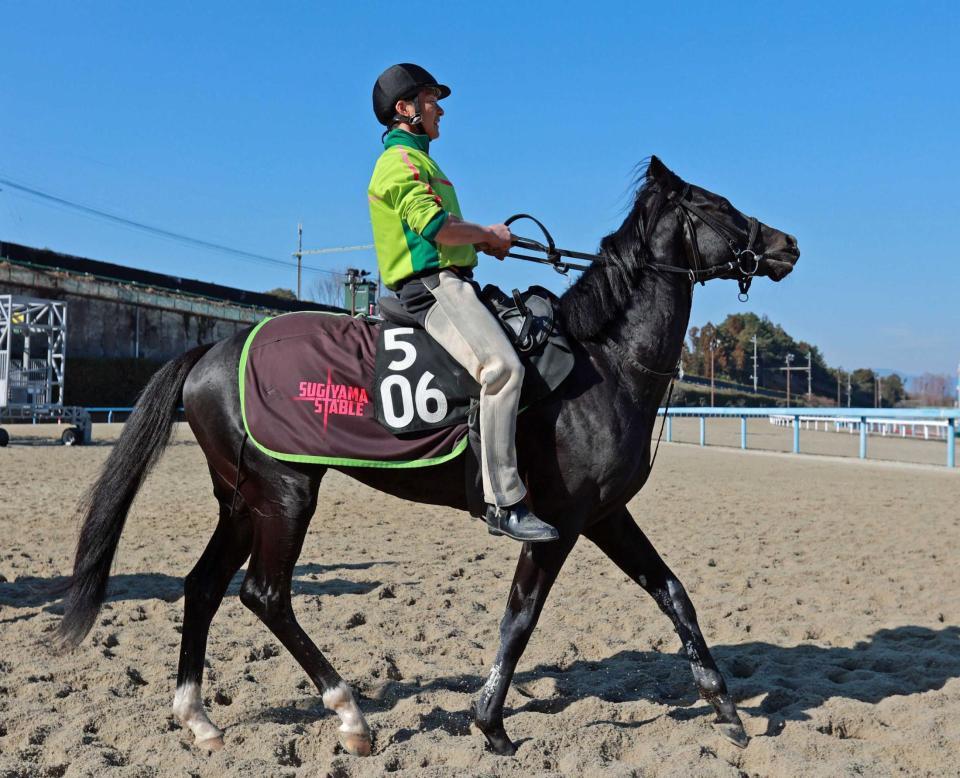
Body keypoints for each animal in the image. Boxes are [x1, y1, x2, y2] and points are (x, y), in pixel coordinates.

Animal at [56, 155, 800, 756]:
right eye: (719, 205)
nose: (786, 243)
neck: (602, 361)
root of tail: (211, 348)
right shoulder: (558, 523)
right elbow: (521, 617)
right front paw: (490, 724)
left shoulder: (605, 515)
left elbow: (672, 592)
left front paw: (726, 708)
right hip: (287, 493)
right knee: (264, 594)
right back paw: (350, 715)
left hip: (243, 499)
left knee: (204, 585)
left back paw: (200, 718)